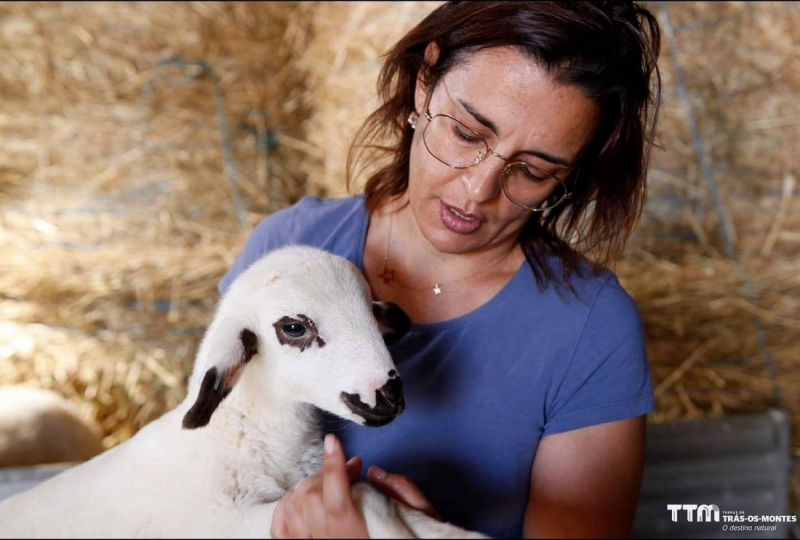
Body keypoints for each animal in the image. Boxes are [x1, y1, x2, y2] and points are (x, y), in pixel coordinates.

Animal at [0, 246, 488, 540]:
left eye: (371, 310)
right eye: (294, 328)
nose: (388, 394)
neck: (244, 438)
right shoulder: (233, 522)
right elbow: (367, 494)